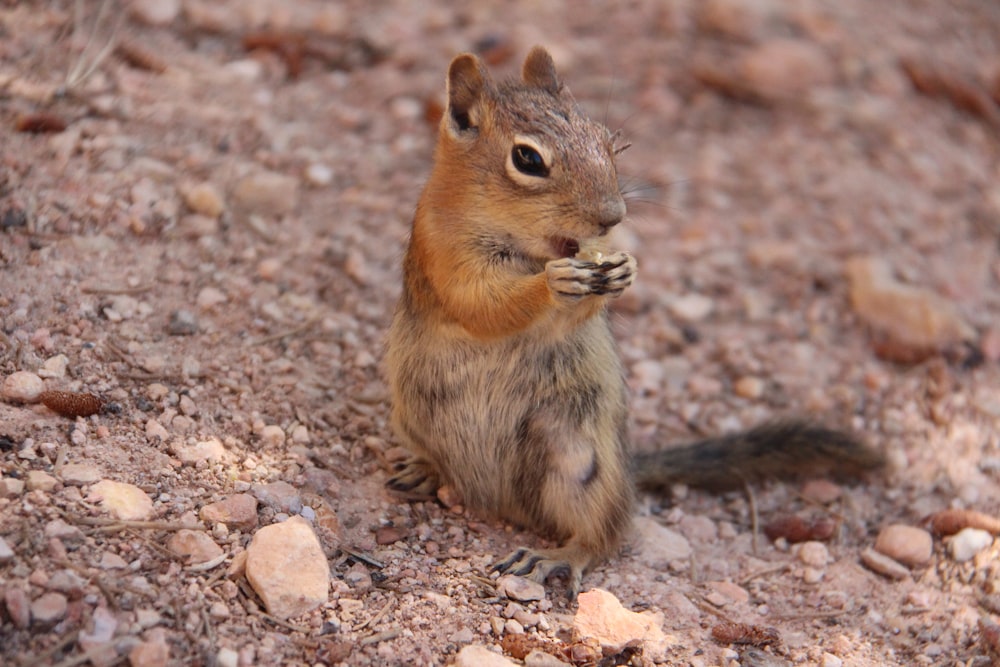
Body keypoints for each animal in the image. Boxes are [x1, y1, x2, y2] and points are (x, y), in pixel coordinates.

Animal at [382, 47, 884, 600]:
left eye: (609, 141)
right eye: (528, 160)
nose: (613, 217)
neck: (530, 247)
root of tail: (493, 501)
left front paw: (625, 270)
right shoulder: (443, 251)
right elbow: (482, 302)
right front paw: (552, 283)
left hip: (580, 463)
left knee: (604, 535)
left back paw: (556, 555)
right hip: (414, 419)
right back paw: (425, 471)